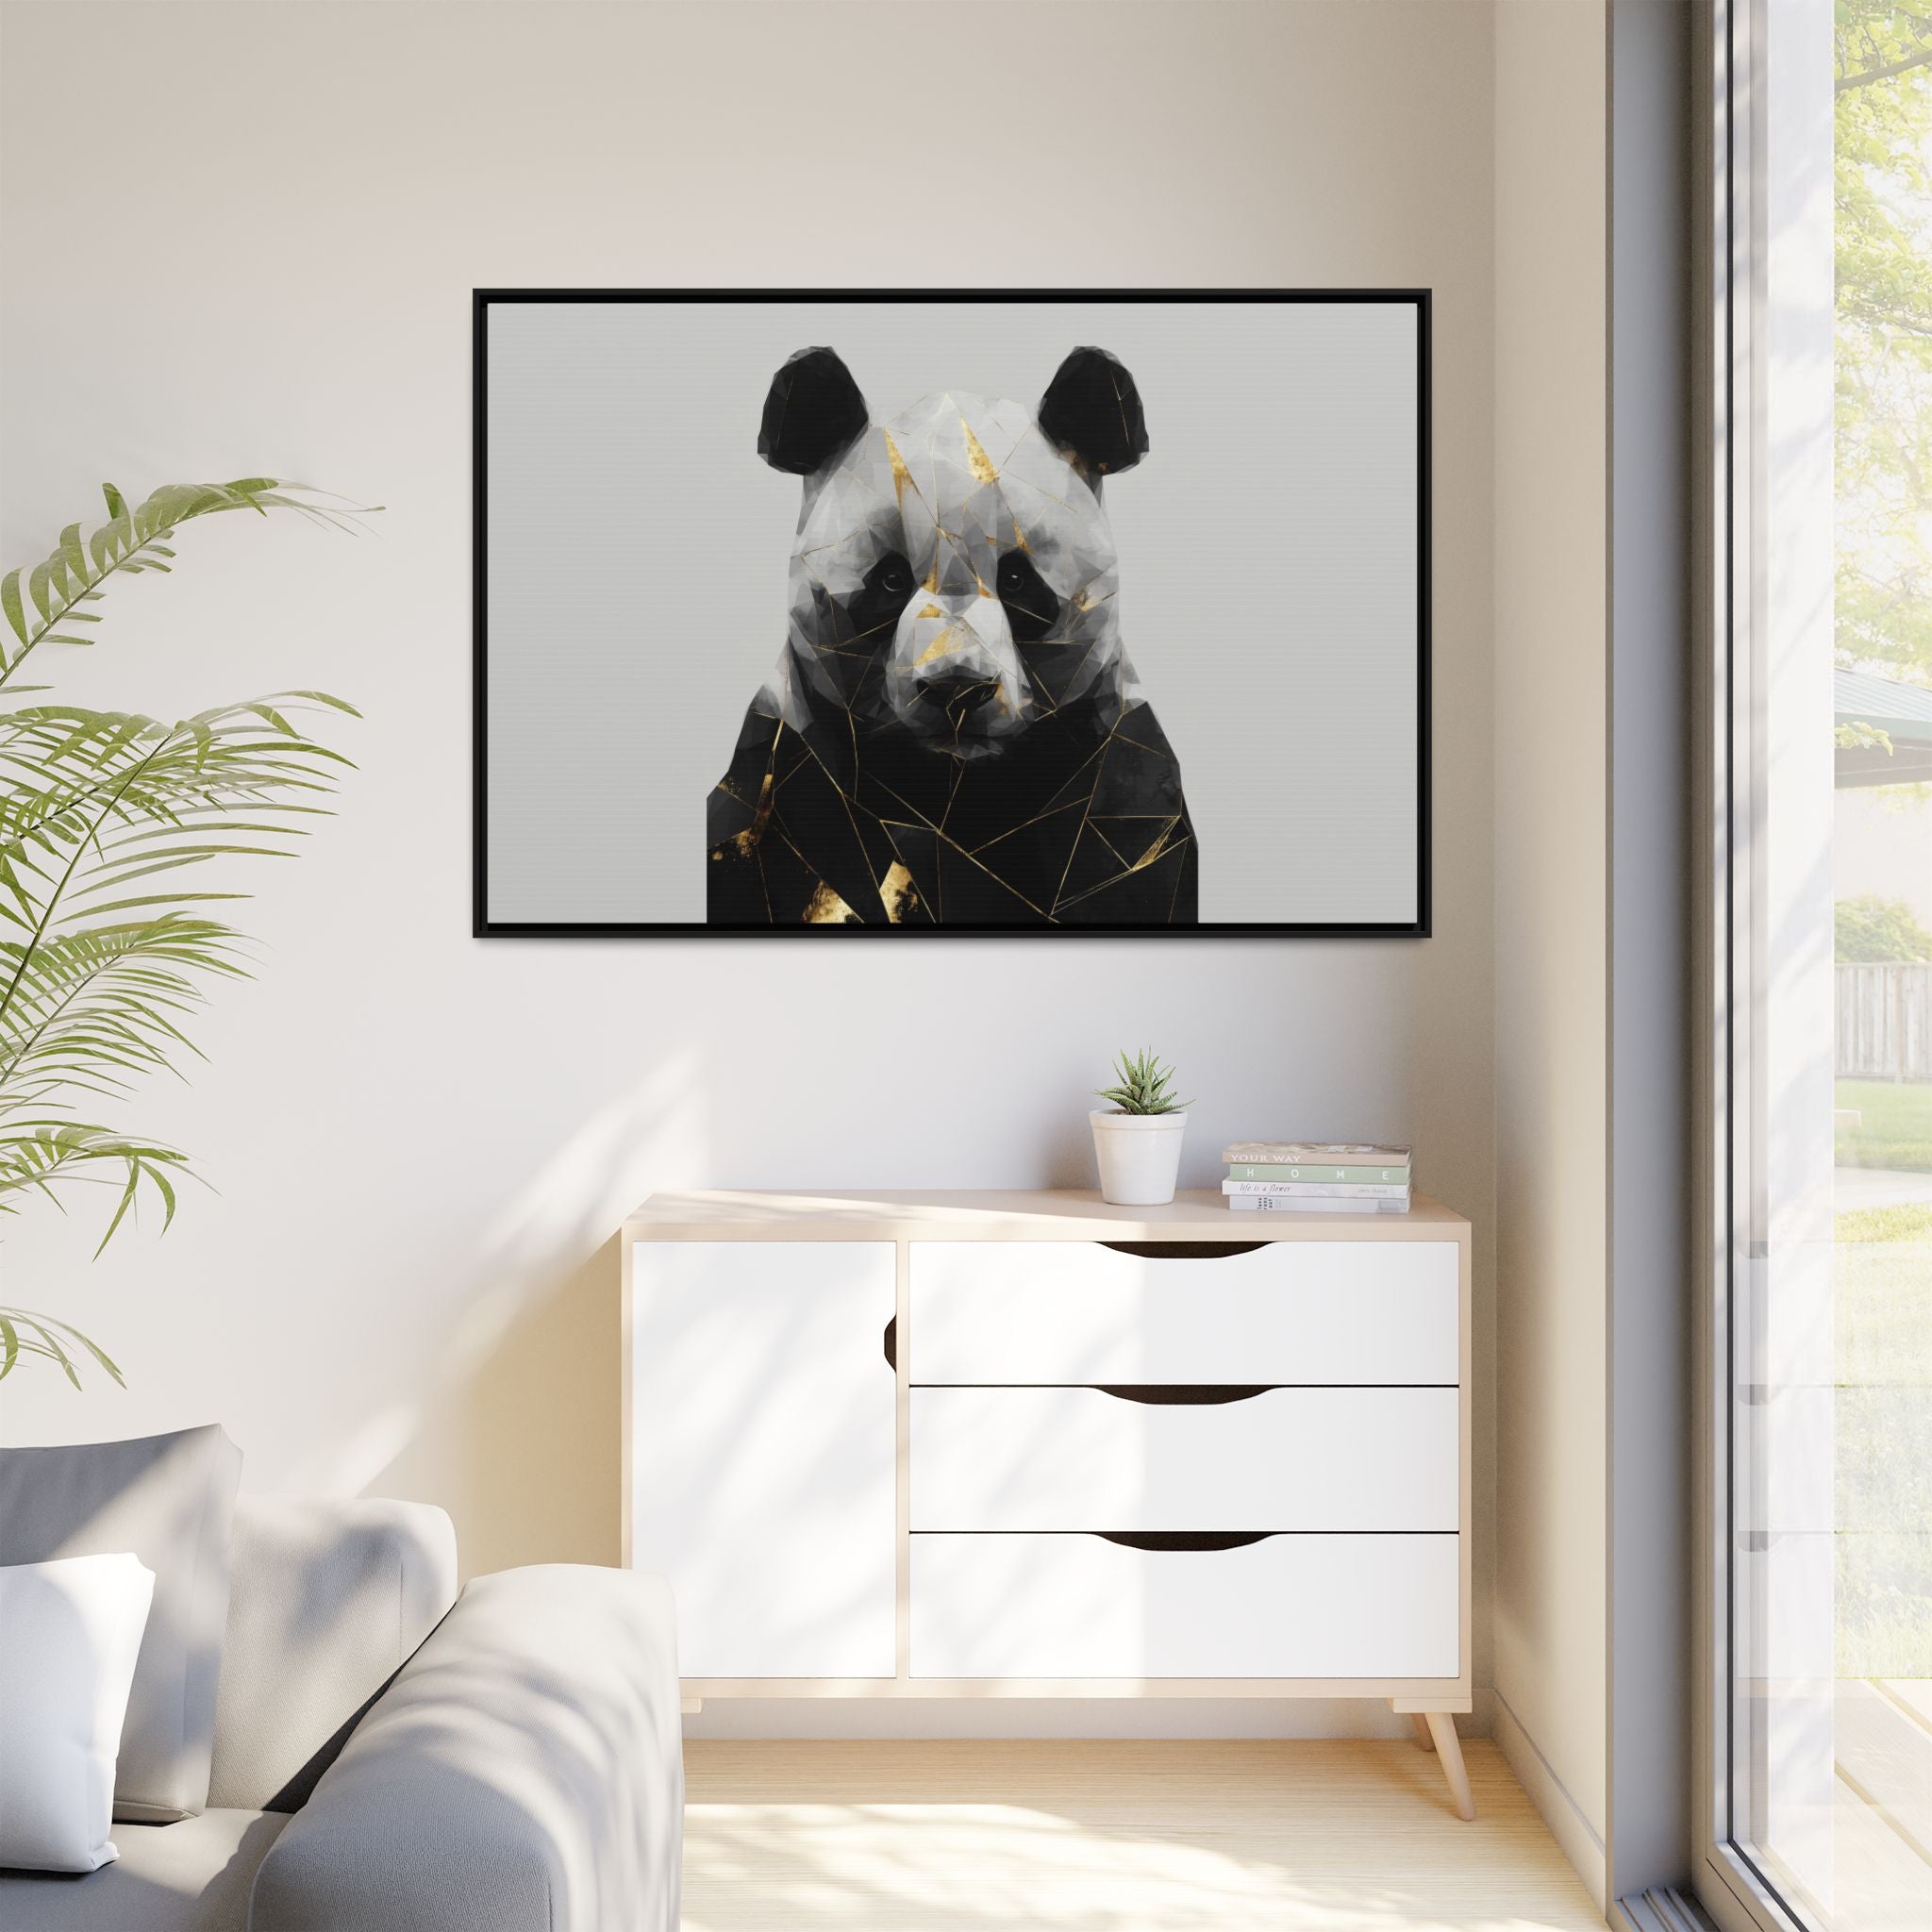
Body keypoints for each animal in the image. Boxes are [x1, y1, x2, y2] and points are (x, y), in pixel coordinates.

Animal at [706, 345, 1198, 926]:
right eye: (890, 580)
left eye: (1017, 580)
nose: (957, 690)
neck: (953, 791)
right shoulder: (785, 774)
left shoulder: (1121, 786)